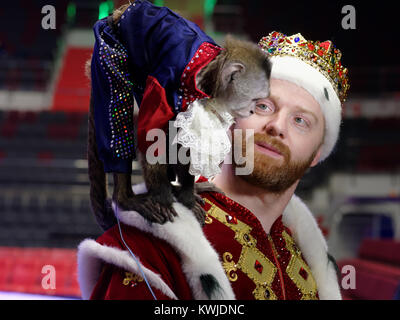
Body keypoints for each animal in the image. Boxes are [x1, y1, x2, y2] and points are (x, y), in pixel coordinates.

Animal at [85, 3, 270, 231]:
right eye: (255, 100)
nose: (252, 111)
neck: (204, 76)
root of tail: (122, 11)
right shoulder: (164, 81)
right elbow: (153, 135)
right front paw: (165, 199)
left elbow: (185, 142)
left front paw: (186, 195)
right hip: (108, 45)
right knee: (117, 109)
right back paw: (125, 198)